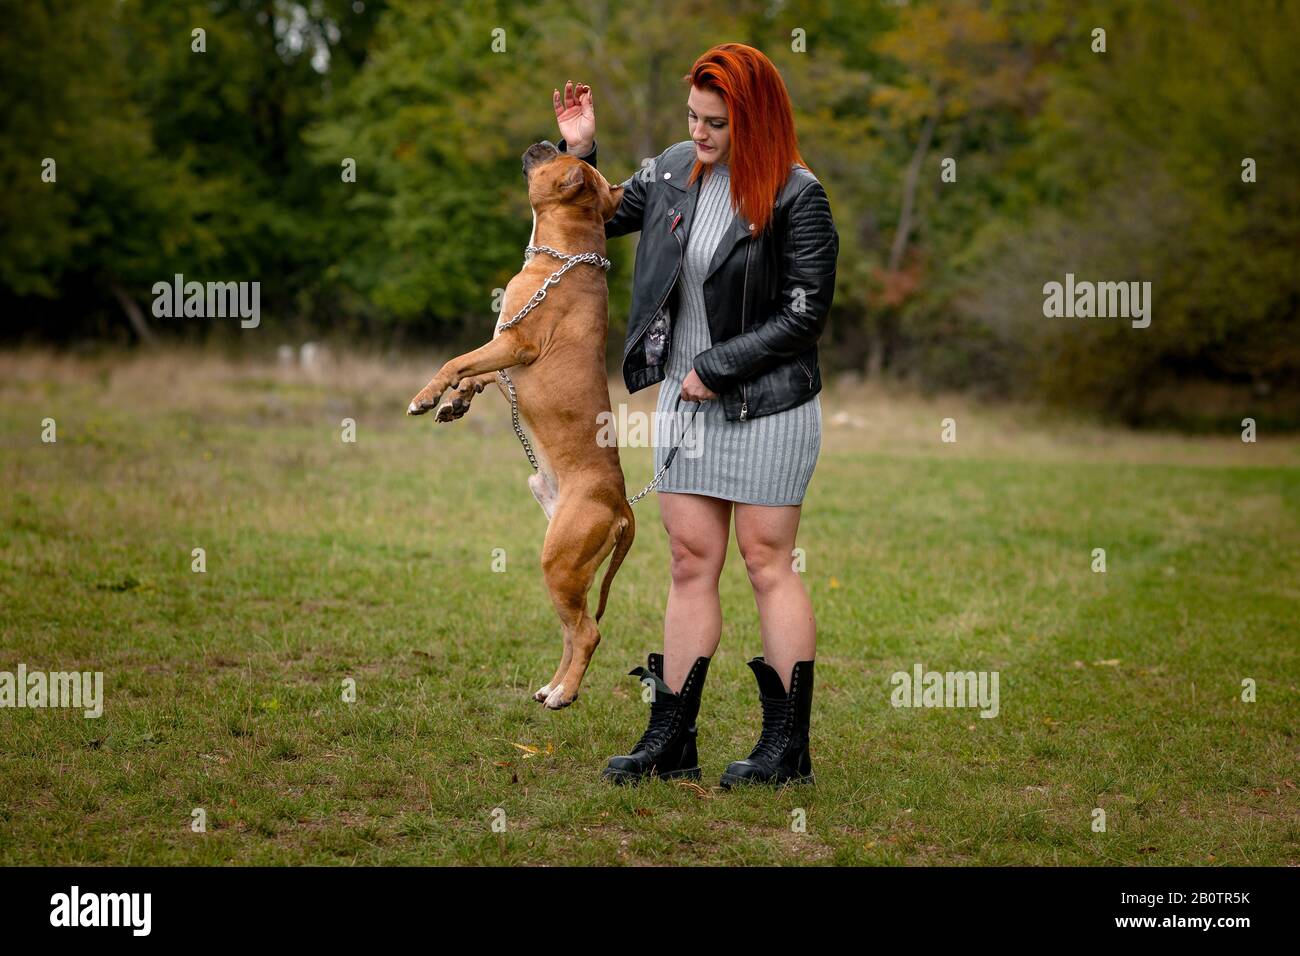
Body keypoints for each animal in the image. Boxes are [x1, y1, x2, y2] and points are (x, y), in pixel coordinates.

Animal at [405, 140, 629, 712]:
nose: (551, 141)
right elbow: (475, 376)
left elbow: (456, 361)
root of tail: (621, 507)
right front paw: (453, 404)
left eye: (554, 158)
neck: (563, 253)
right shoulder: (503, 354)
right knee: (574, 630)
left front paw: (426, 396)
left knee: (588, 632)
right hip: (565, 570)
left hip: (562, 563)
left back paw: (564, 694)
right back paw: (554, 686)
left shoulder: (513, 344)